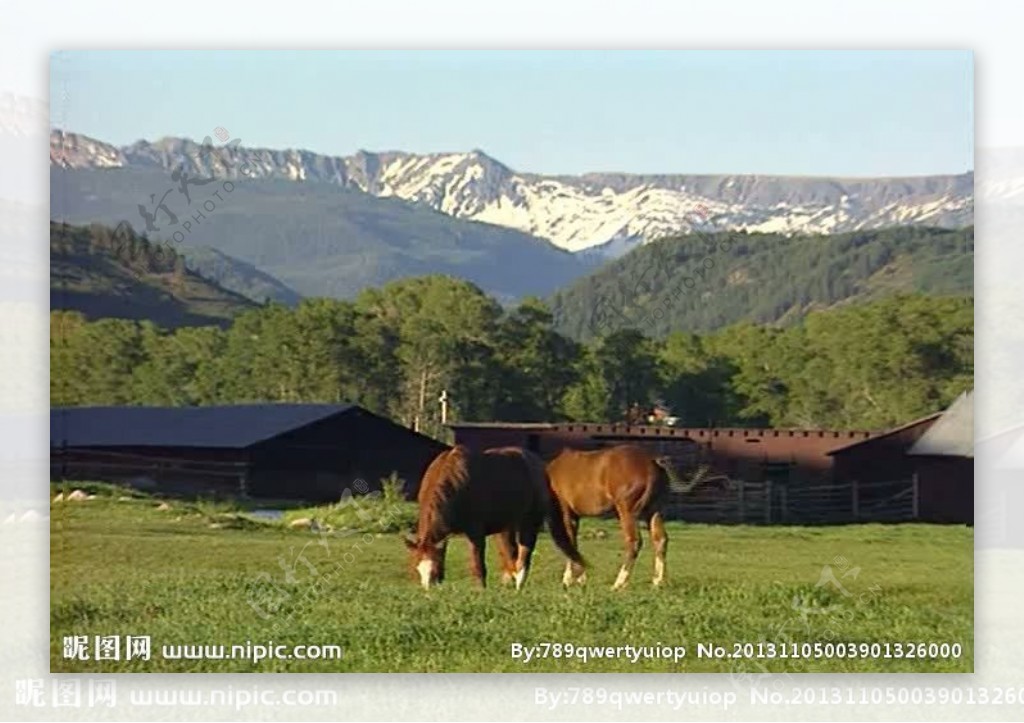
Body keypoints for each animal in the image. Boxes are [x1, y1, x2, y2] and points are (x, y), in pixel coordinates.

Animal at [405, 442, 585, 589]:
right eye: (417, 568)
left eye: (433, 569)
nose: (428, 589)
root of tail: (540, 465)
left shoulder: (476, 532)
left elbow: (477, 563)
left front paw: (481, 589)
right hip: (507, 526)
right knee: (510, 552)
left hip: (529, 521)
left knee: (524, 552)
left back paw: (519, 583)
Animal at [544, 442, 679, 589]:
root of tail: (652, 462)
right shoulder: (574, 516)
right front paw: (580, 579)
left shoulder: (566, 513)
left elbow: (569, 542)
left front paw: (568, 580)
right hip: (654, 512)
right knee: (660, 539)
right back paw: (657, 582)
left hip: (627, 511)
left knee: (634, 541)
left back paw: (619, 584)